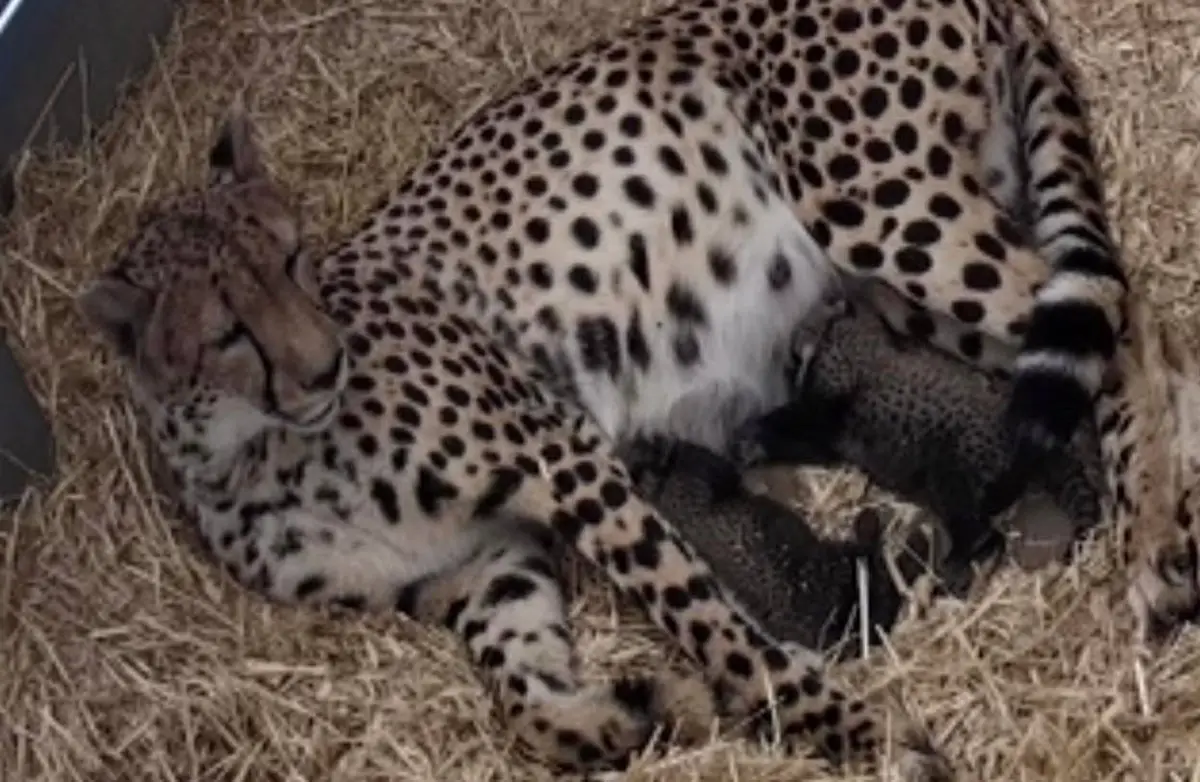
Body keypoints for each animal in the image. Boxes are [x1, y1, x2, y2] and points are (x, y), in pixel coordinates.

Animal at [75, 0, 1190, 772]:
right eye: (225, 329)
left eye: (296, 260)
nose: (324, 362)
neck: (259, 448)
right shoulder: (481, 565)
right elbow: (528, 704)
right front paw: (639, 715)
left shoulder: (562, 455)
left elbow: (706, 619)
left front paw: (845, 725)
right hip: (899, 280)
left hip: (882, 209)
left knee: (1140, 324)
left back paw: (1155, 550)